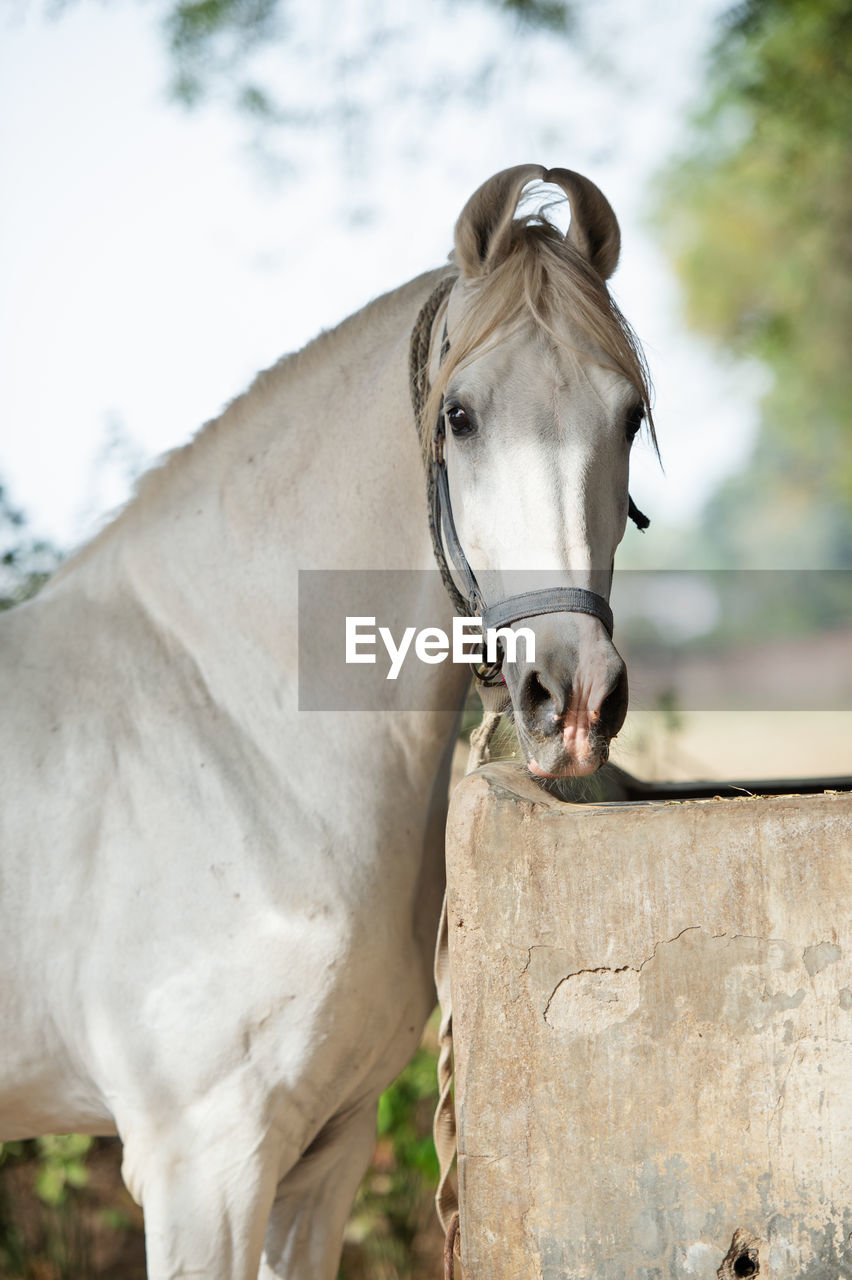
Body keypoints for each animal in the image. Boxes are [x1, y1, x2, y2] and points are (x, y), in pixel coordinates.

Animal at [0, 165, 649, 1274]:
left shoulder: (321, 1156)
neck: (233, 723)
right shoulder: (205, 1164)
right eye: (461, 416)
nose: (571, 698)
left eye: (630, 414)